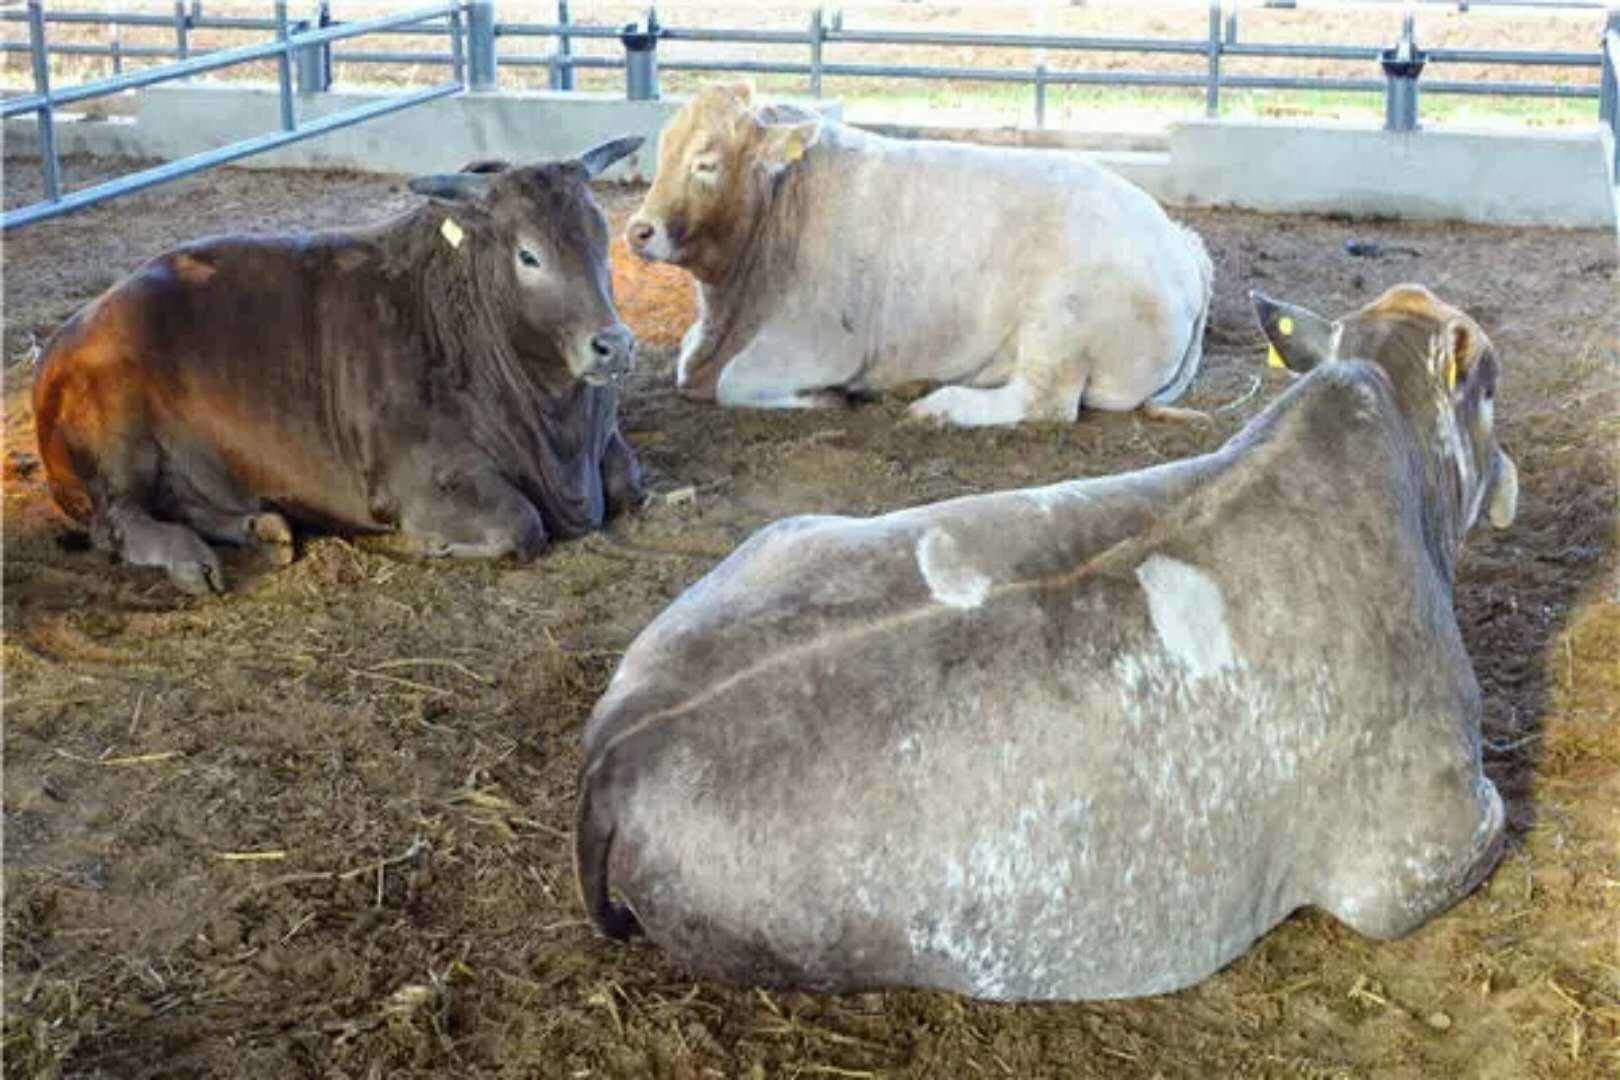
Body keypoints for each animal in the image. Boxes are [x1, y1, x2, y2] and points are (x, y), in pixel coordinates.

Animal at [31, 136, 644, 595]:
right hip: (118, 446)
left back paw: (264, 528)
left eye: (602, 240)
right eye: (528, 255)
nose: (614, 344)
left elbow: (631, 482)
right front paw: (427, 543)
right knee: (115, 522)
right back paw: (188, 558)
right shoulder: (423, 477)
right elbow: (521, 524)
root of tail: (62, 339)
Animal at [625, 82, 1211, 427]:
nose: (638, 230)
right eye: (663, 149)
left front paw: (824, 398)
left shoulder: (822, 344)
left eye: (706, 162)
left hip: (1061, 323)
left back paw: (938, 406)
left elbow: (735, 382)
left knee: (1045, 404)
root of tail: (1178, 243)